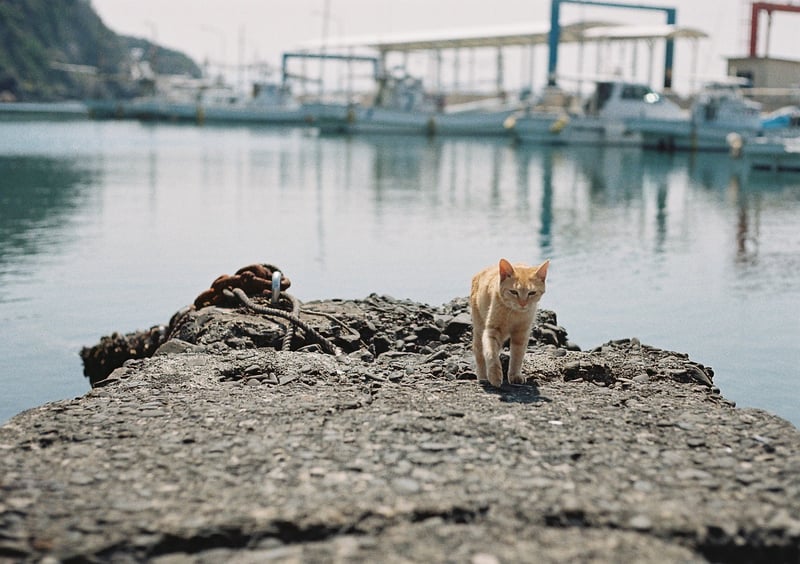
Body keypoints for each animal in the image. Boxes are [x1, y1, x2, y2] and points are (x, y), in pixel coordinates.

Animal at [468, 260, 552, 388]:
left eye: (532, 293)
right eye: (513, 292)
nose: (523, 304)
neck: (514, 313)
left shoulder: (521, 334)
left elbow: (517, 356)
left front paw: (514, 375)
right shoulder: (492, 330)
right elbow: (491, 352)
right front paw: (495, 375)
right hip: (479, 328)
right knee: (479, 352)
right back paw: (483, 377)